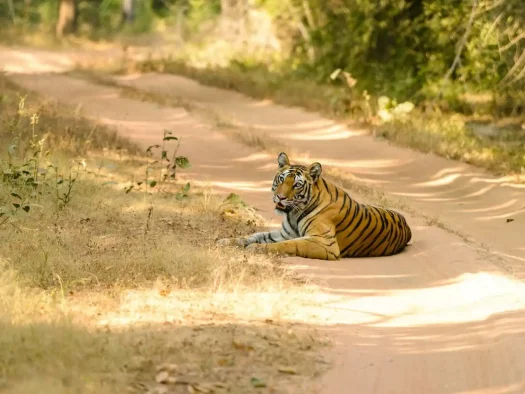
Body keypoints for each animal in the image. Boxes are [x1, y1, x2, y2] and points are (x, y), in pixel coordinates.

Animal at [215, 152, 412, 260]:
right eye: (281, 179)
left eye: (296, 185)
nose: (280, 197)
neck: (293, 213)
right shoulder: (285, 233)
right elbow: (254, 235)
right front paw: (226, 241)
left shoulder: (325, 243)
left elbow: (289, 245)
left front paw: (257, 249)